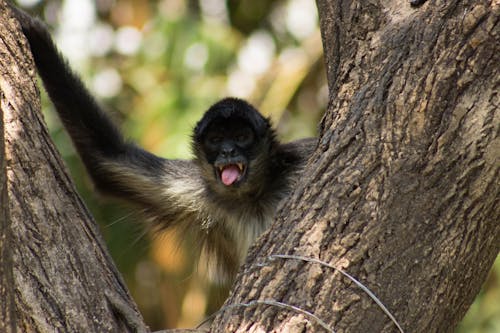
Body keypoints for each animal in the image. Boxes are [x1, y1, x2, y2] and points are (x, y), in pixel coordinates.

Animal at [11, 7, 314, 282]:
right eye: (216, 140)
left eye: (241, 137)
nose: (228, 151)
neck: (251, 199)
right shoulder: (196, 190)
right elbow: (106, 159)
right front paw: (35, 35)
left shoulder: (298, 159)